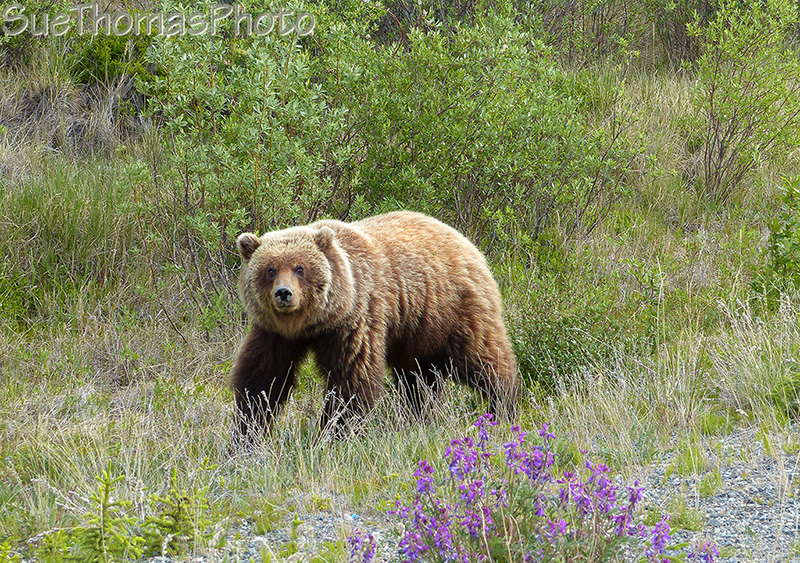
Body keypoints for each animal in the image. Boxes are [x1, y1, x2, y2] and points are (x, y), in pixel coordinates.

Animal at [231, 211, 519, 442]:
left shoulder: (355, 320)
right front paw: (247, 433)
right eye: (270, 269)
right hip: (417, 333)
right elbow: (262, 379)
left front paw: (335, 433)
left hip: (453, 310)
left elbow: (352, 378)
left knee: (483, 358)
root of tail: (464, 239)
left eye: (299, 268)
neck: (311, 324)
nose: (284, 293)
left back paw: (504, 407)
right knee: (417, 380)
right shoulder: (274, 333)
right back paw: (419, 416)